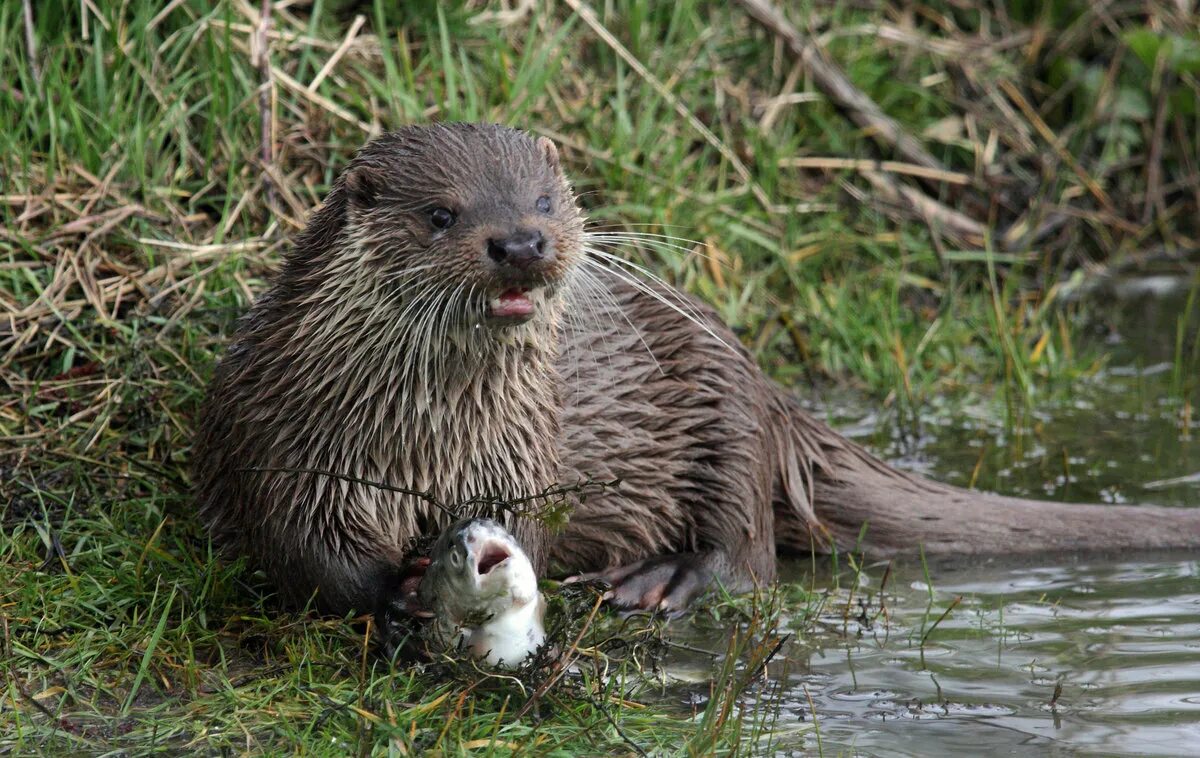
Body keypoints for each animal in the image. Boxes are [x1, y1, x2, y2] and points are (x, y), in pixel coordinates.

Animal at [192, 124, 1195, 623]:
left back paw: (660, 583)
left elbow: (535, 530)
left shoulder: (527, 456)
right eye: (441, 213)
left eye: (546, 199)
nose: (520, 241)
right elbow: (301, 553)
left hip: (729, 421)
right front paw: (391, 596)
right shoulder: (279, 444)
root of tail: (779, 397)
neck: (423, 439)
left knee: (750, 559)